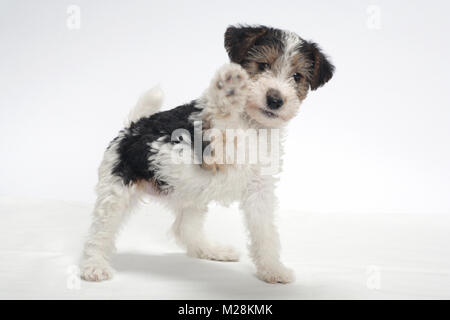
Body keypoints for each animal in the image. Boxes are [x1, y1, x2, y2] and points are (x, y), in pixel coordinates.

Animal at [81, 25, 334, 284]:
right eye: (262, 65)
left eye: (297, 77)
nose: (275, 100)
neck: (252, 124)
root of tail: (132, 127)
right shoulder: (207, 151)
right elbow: (219, 120)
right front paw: (228, 91)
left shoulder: (260, 189)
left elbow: (266, 234)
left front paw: (273, 270)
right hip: (116, 192)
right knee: (98, 234)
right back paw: (94, 266)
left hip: (192, 197)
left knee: (184, 229)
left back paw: (212, 250)